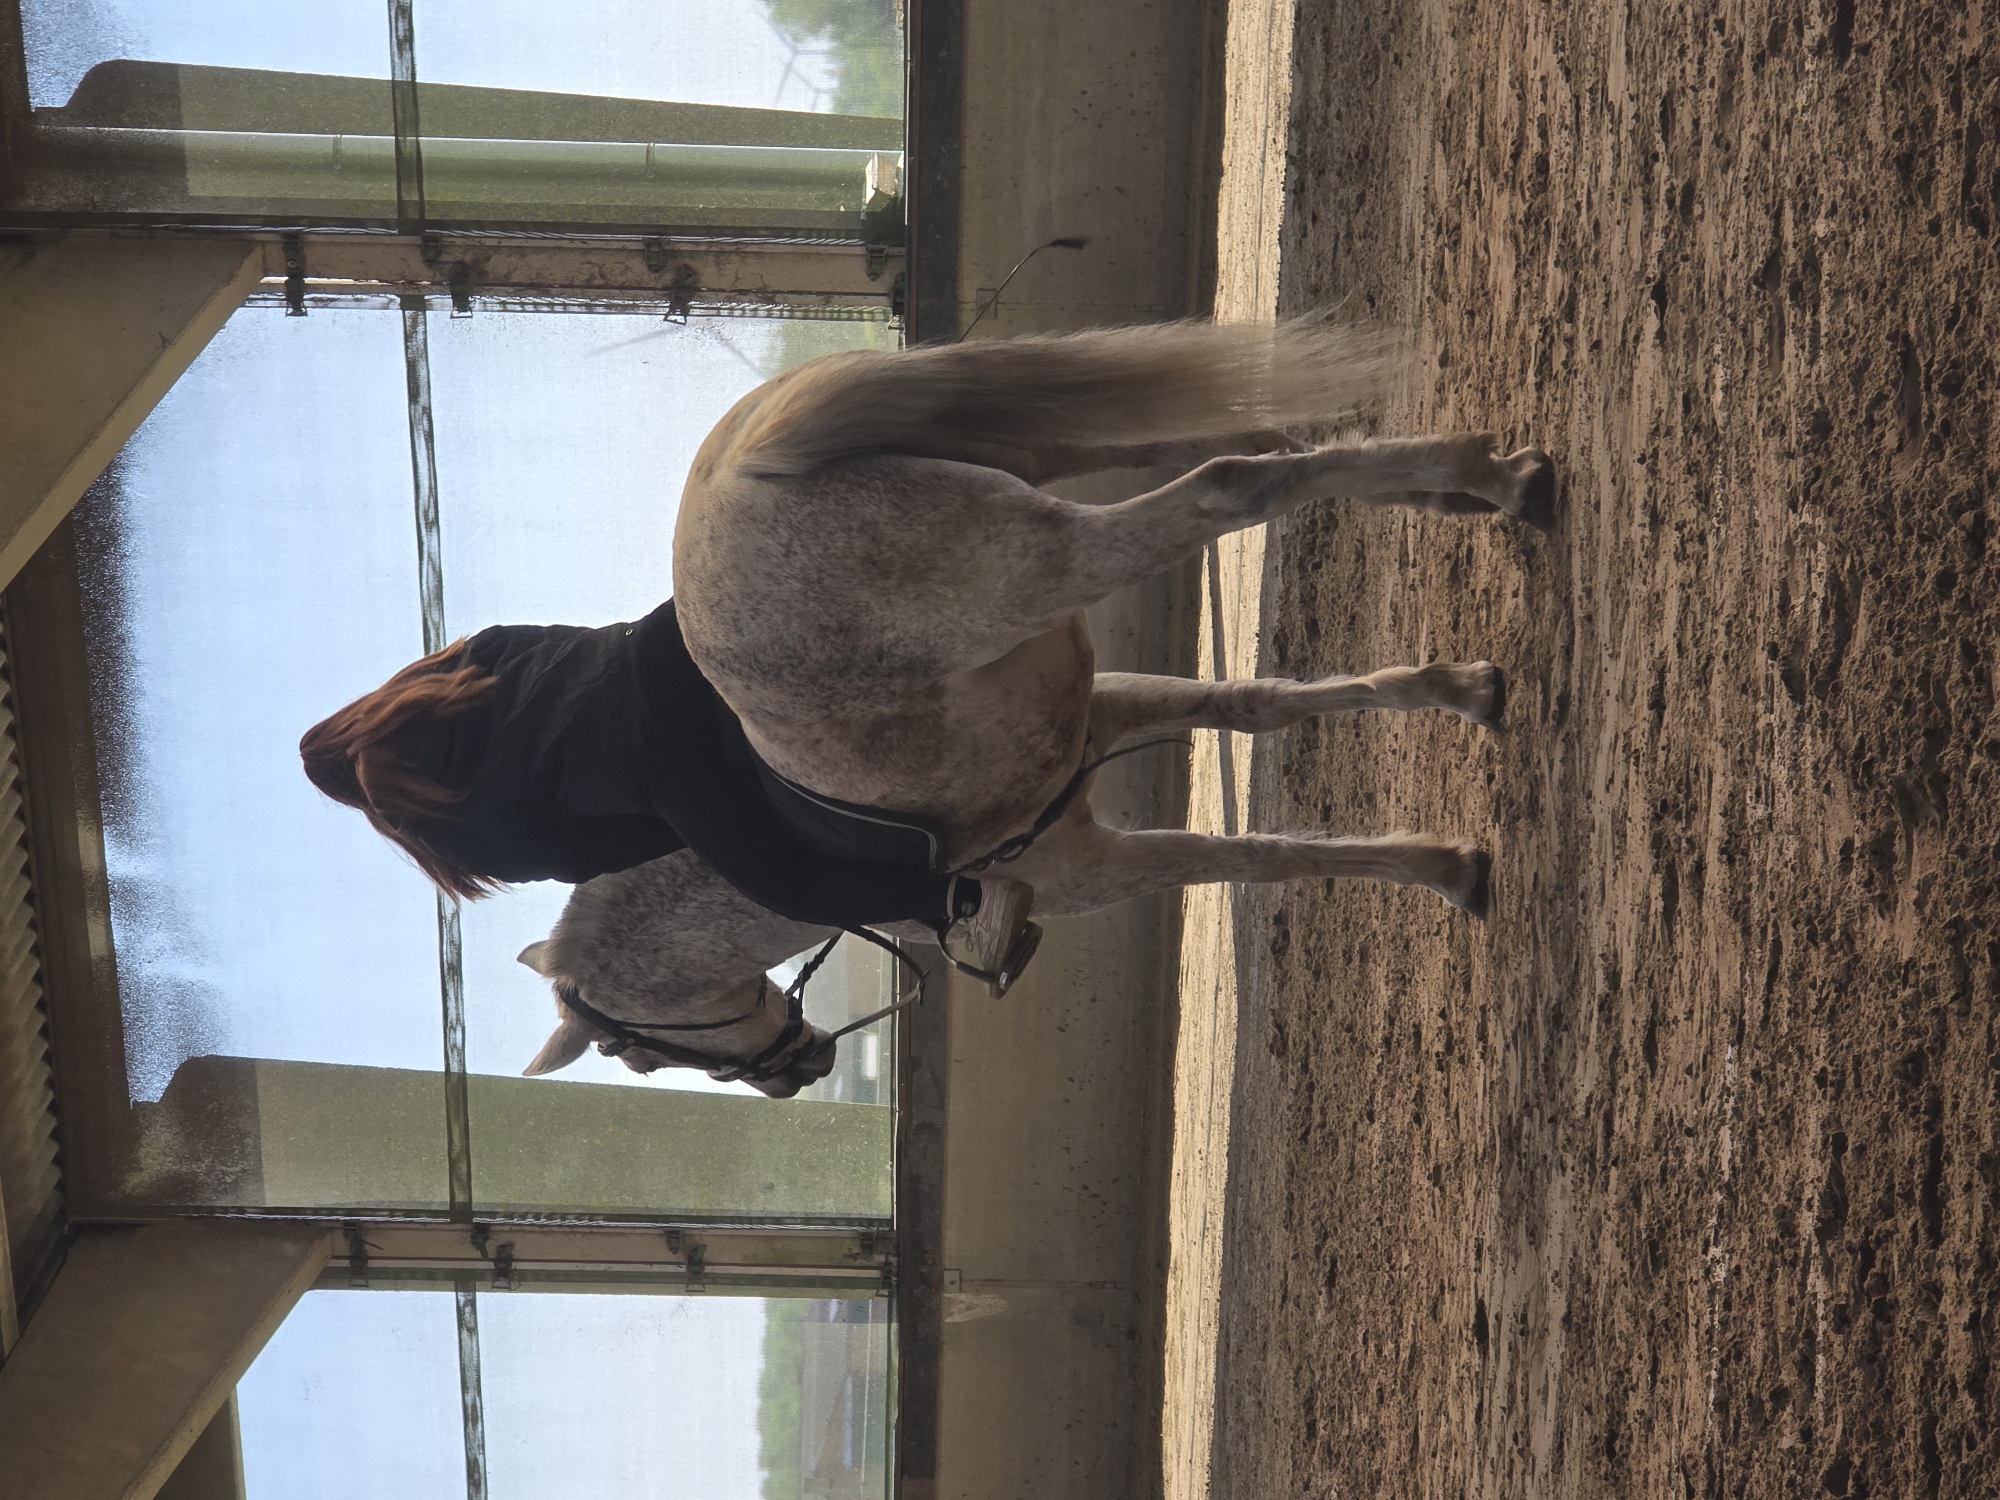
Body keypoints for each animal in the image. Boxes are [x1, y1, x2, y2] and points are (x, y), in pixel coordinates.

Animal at [521, 320, 1553, 1094]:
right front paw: (1456, 693)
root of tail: (741, 466)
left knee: (1230, 483)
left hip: (1048, 557)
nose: (792, 1075)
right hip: (1039, 453)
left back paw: (1489, 476)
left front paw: (1445, 869)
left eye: (634, 1051)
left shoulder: (1088, 870)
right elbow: (1255, 712)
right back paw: (1474, 479)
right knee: (1250, 444)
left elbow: (1246, 858)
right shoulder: (1100, 719)